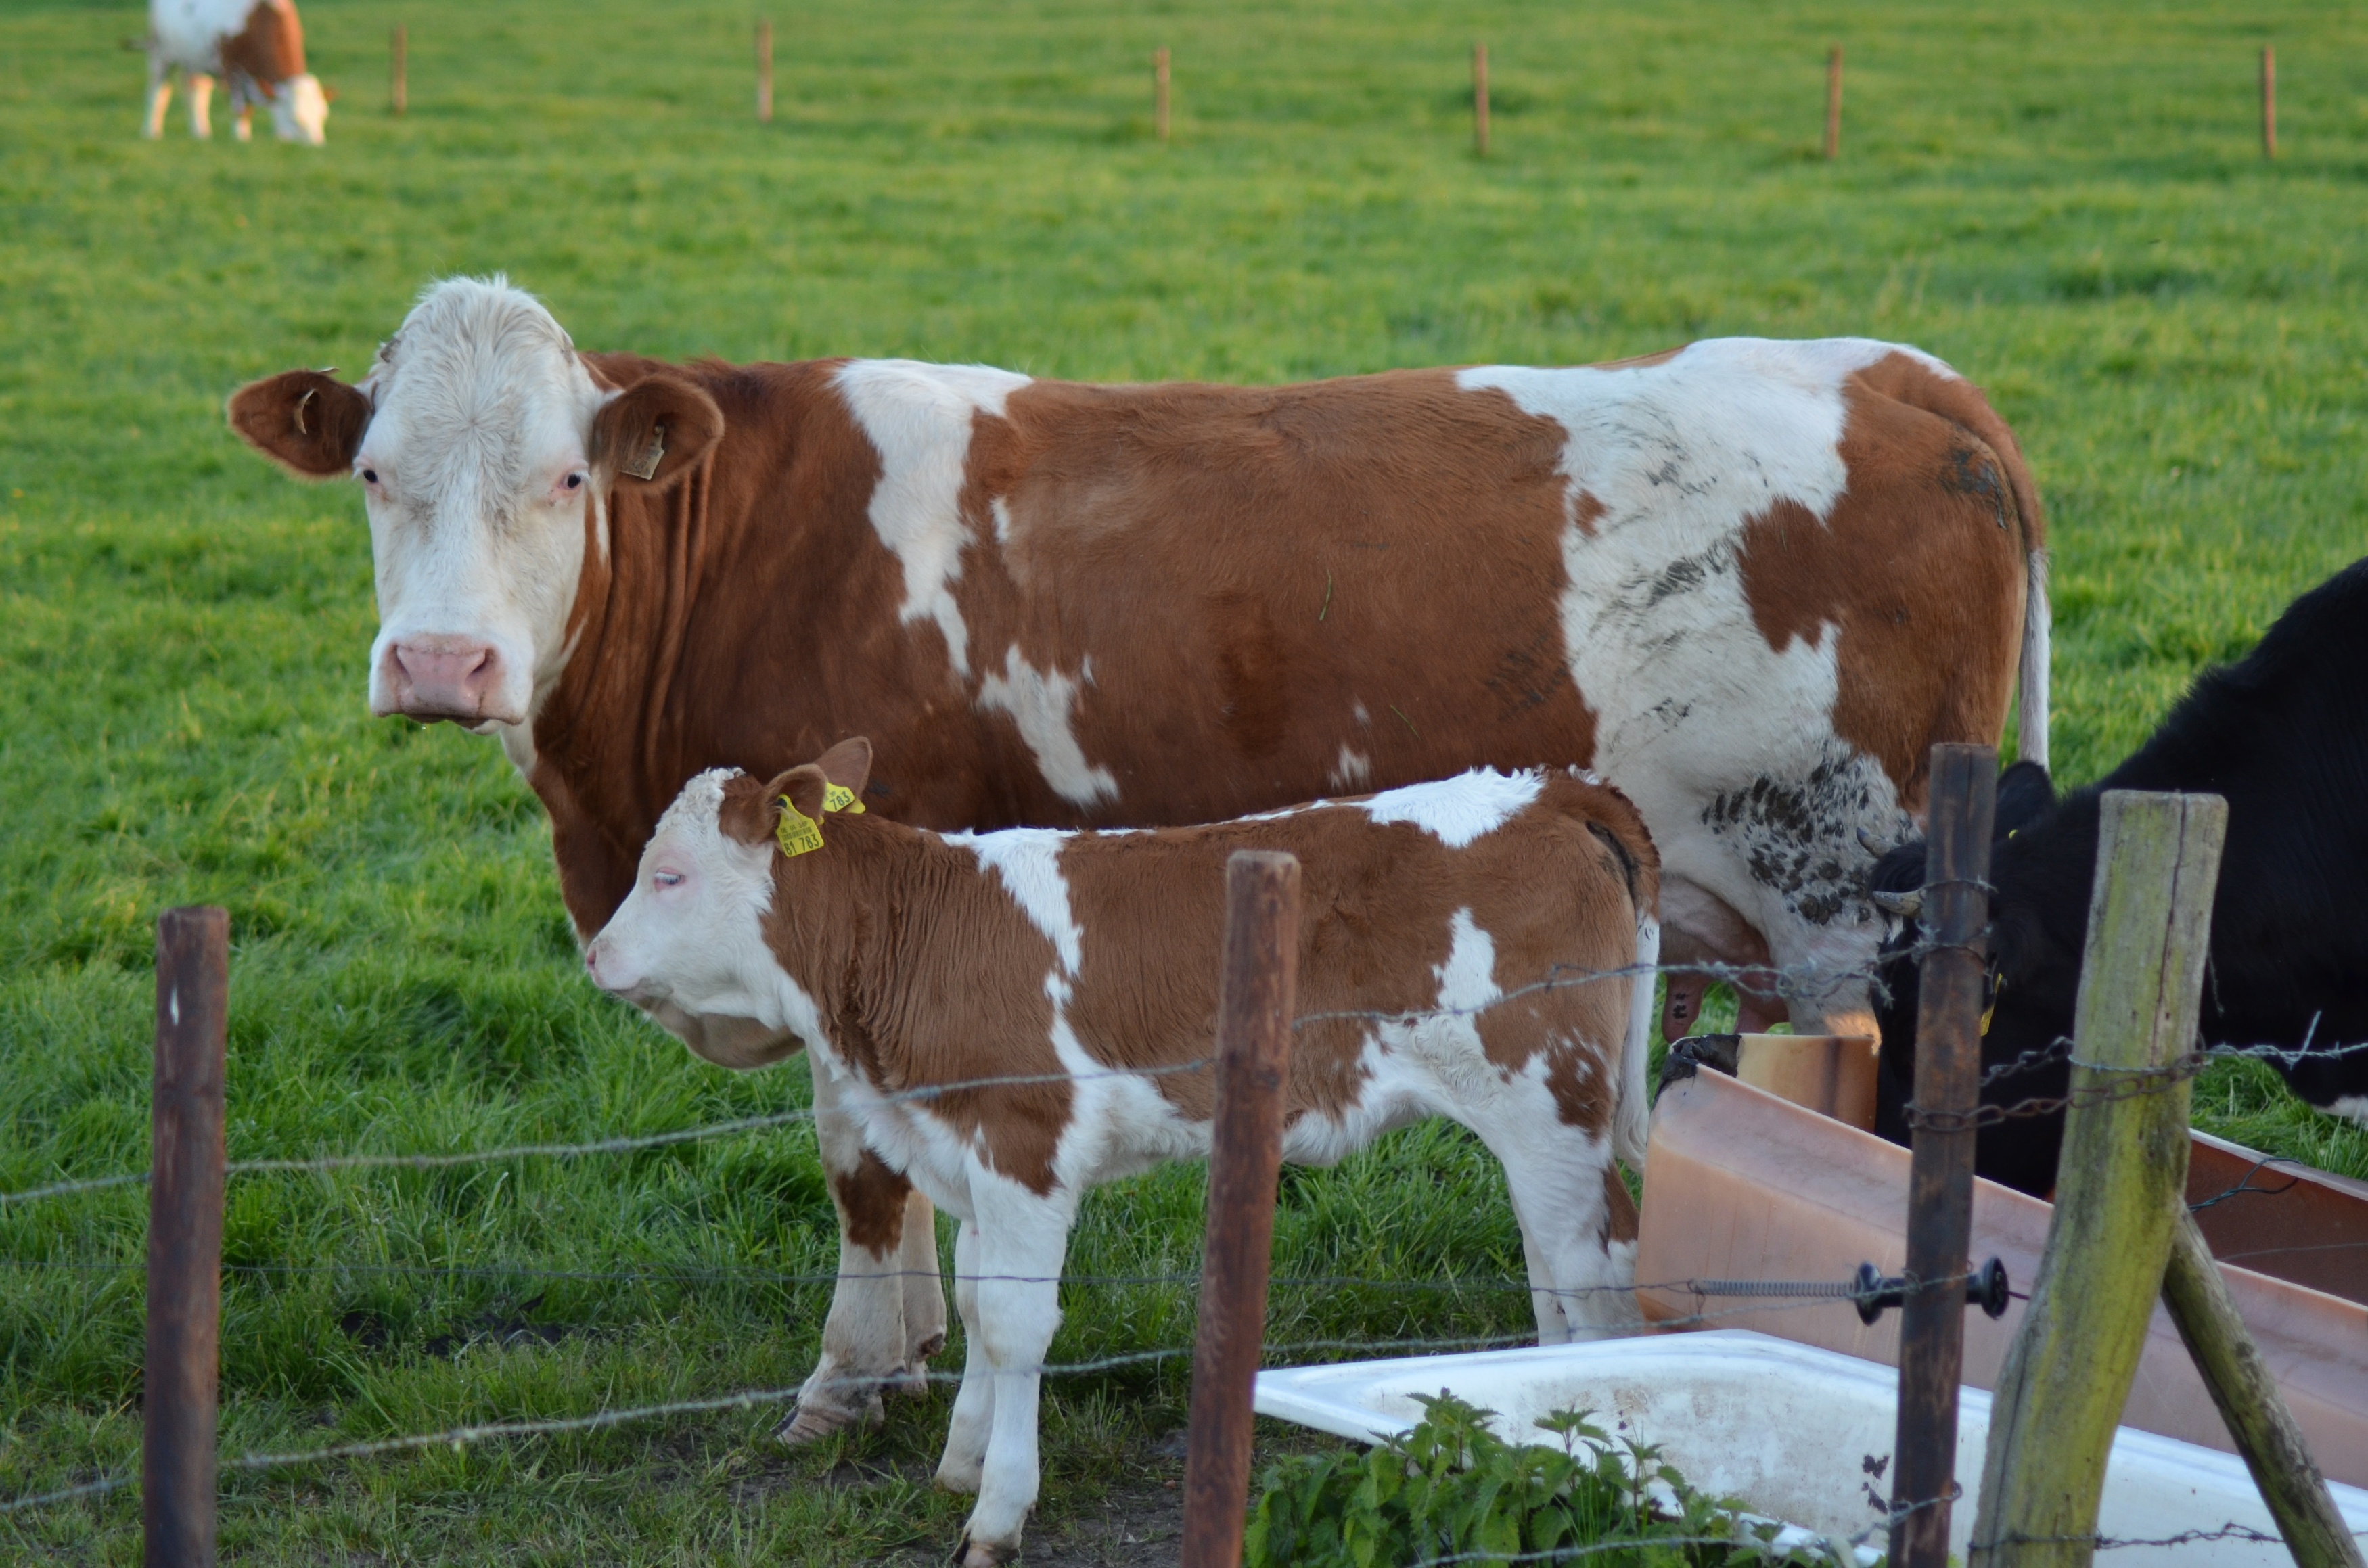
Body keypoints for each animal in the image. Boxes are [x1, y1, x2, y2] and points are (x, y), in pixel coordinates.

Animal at [144, 0, 329, 145]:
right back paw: (151, 132)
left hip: (196, 60)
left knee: (196, 95)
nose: (317, 146)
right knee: (158, 92)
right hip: (161, 53)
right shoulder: (231, 69)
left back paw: (201, 134)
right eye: (295, 119)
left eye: (322, 116)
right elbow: (241, 109)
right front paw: (241, 139)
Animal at [231, 279, 2055, 1449]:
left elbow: (859, 1158)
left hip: (1846, 905)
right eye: (375, 473)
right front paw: (912, 1351)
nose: (442, 664)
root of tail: (1905, 373)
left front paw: (847, 1380)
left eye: (563, 478)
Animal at [587, 753, 1667, 1568]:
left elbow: (1016, 1326)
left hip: (1548, 1097)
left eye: (669, 874)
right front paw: (962, 1457)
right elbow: (976, 1301)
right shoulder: (964, 1146)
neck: (913, 940)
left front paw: (997, 1510)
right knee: (1551, 1266)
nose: (592, 955)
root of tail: (1553, 786)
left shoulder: (1024, 1140)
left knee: (1595, 1269)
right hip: (1535, 1122)